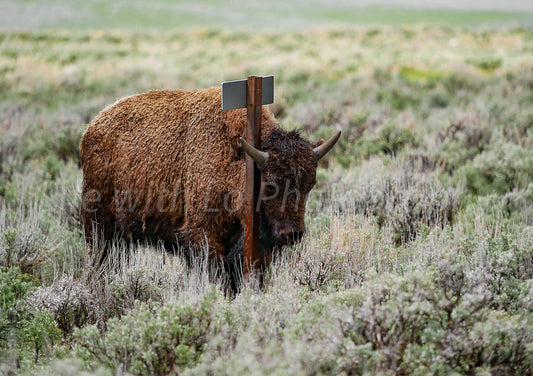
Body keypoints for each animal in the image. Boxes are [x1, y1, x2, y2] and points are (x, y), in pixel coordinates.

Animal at [81, 86, 338, 290]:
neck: (241, 159)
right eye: (270, 184)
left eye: (311, 183)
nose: (292, 233)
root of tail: (92, 128)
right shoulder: (204, 238)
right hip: (98, 227)